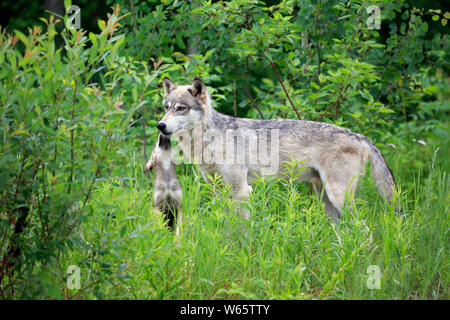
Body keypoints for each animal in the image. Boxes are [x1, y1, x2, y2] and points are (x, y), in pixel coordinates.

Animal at [155, 77, 394, 222]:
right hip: (326, 201)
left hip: (338, 198)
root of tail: (359, 136)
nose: (160, 125)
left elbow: (242, 227)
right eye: (166, 108)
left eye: (181, 108)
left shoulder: (242, 191)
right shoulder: (219, 190)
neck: (209, 141)